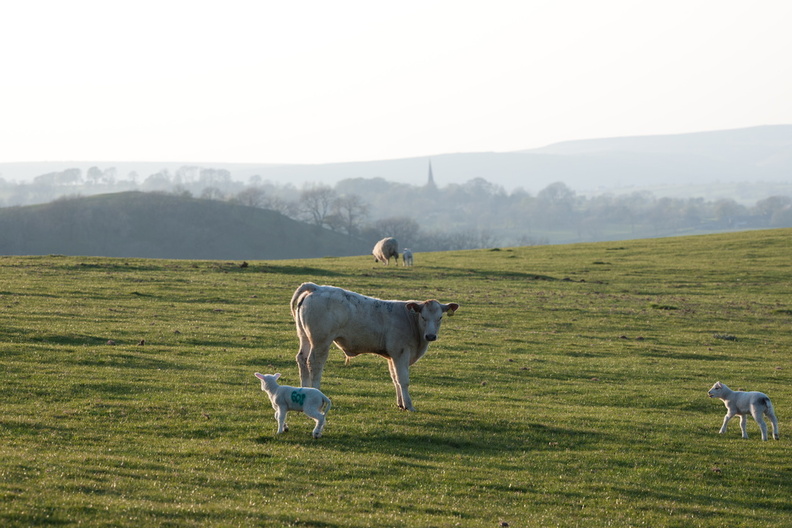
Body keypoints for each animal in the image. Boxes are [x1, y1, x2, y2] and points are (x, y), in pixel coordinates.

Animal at [290, 282, 459, 411]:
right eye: (423, 317)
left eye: (440, 317)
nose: (430, 336)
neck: (410, 320)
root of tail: (317, 287)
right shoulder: (401, 353)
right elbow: (403, 379)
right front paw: (409, 405)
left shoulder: (392, 356)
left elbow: (395, 378)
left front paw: (400, 404)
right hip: (321, 341)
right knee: (314, 363)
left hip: (304, 336)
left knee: (302, 359)